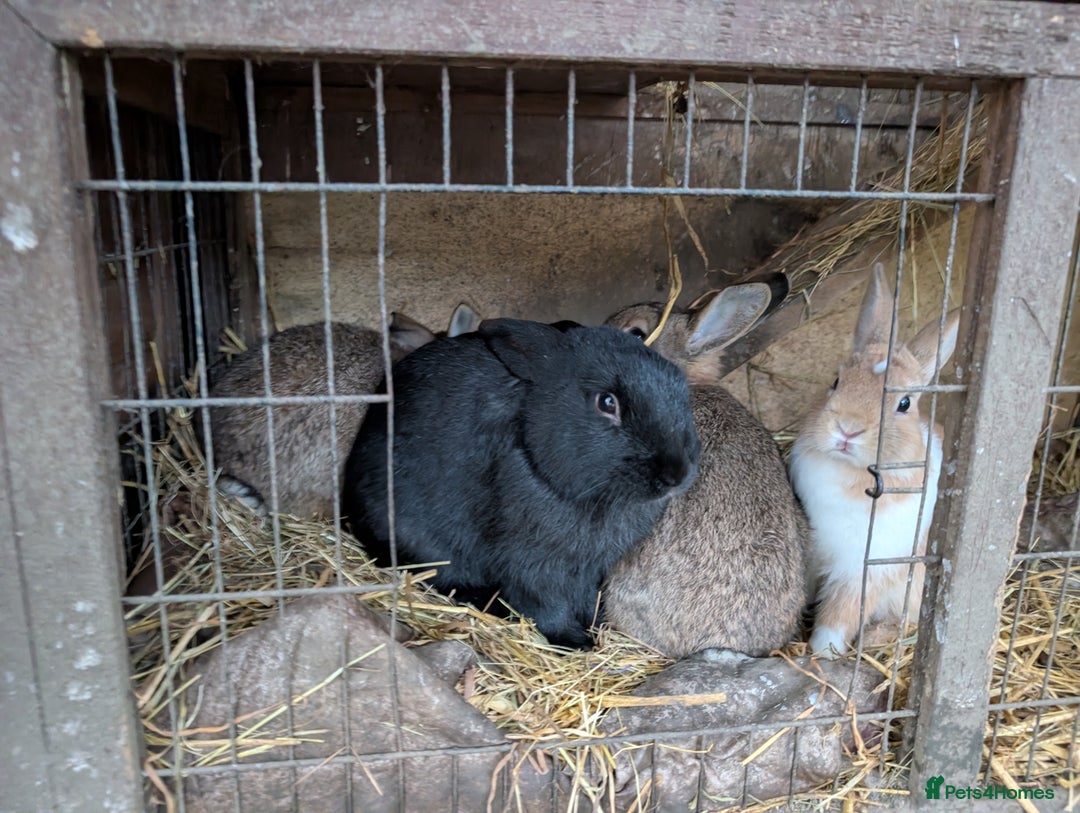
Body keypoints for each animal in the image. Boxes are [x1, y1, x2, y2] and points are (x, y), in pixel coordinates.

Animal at [341, 318, 701, 648]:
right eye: (607, 402)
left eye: (681, 393)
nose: (676, 473)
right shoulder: (531, 564)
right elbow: (545, 604)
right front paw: (575, 642)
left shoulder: (590, 569)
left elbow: (586, 599)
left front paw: (596, 629)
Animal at [788, 264, 959, 657]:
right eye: (836, 381)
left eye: (904, 404)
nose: (847, 429)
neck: (850, 477)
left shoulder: (863, 571)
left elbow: (838, 618)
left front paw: (821, 654)